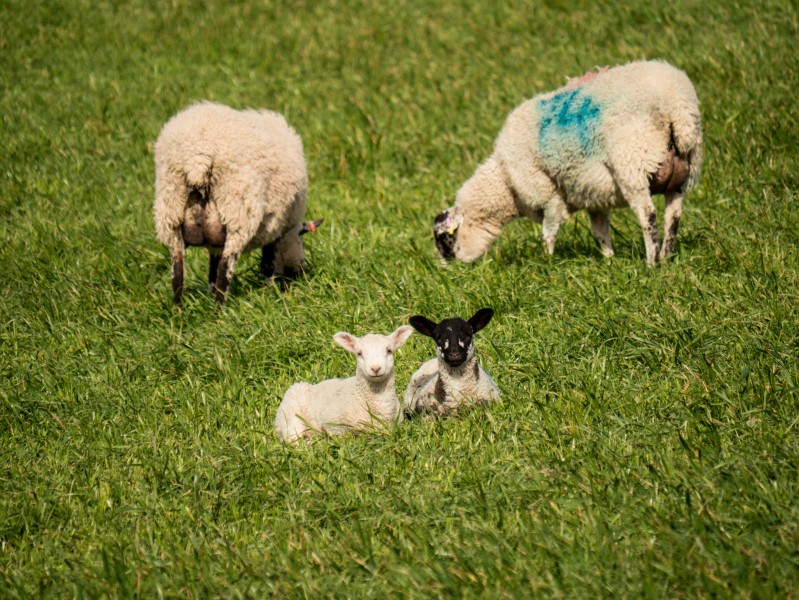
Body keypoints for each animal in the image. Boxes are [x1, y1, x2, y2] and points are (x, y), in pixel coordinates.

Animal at [153, 101, 322, 304]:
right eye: (302, 240)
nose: (299, 272)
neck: (289, 232)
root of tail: (197, 156)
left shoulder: (215, 242)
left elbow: (212, 268)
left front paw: (209, 292)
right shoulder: (275, 227)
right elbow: (267, 264)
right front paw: (268, 293)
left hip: (170, 211)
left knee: (177, 274)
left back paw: (179, 310)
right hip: (238, 215)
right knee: (224, 271)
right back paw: (219, 310)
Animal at [434, 60, 704, 264]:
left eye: (445, 240)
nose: (447, 273)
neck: (505, 182)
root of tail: (676, 104)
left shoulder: (548, 196)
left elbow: (549, 232)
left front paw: (548, 262)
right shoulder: (596, 197)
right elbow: (600, 231)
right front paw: (609, 260)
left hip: (633, 164)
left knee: (648, 216)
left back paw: (651, 261)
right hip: (682, 172)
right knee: (673, 216)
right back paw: (667, 258)